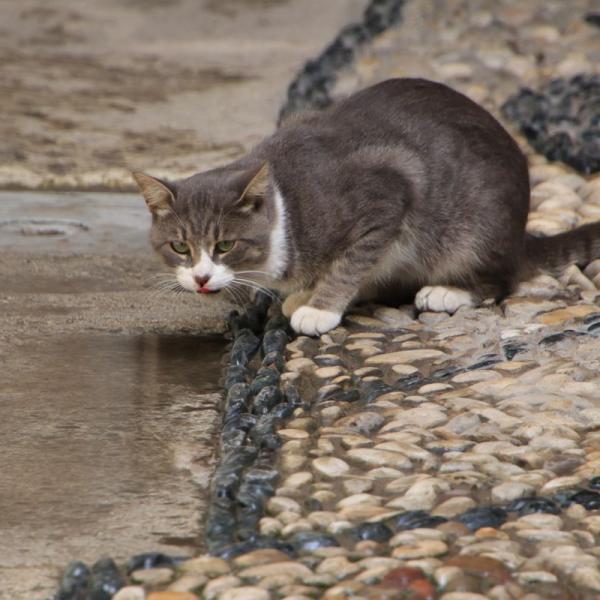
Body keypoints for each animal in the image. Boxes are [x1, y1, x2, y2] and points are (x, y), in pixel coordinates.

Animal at [132, 77, 600, 336]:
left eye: (226, 245)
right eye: (179, 247)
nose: (200, 278)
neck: (287, 212)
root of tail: (520, 237)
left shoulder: (387, 195)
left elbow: (349, 262)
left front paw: (320, 307)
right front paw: (306, 294)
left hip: (475, 232)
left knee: (501, 279)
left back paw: (448, 290)